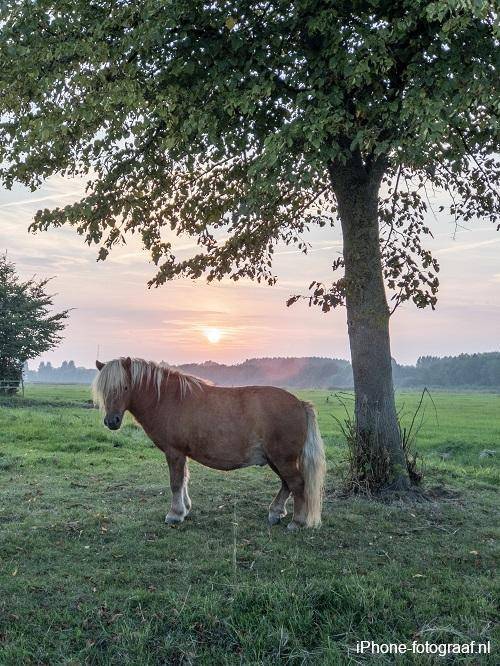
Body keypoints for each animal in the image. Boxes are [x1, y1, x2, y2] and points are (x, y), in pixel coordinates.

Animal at [93, 356, 328, 528]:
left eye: (124, 387)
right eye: (104, 390)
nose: (112, 421)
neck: (169, 399)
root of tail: (300, 403)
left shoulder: (174, 452)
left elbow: (175, 482)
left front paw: (175, 514)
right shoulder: (181, 453)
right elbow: (184, 480)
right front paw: (185, 509)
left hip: (282, 459)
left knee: (297, 484)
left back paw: (297, 522)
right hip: (275, 459)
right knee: (287, 484)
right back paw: (275, 512)